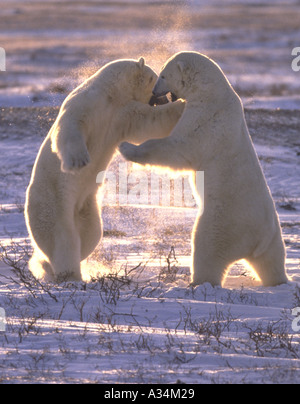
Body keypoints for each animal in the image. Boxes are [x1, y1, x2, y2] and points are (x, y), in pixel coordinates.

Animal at [25, 58, 185, 282]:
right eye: (155, 78)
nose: (165, 98)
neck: (110, 95)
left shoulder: (122, 115)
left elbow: (149, 123)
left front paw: (181, 105)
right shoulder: (85, 104)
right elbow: (71, 127)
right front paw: (80, 161)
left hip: (86, 207)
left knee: (91, 235)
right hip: (52, 203)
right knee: (63, 238)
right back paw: (67, 274)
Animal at [120, 51, 290, 288]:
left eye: (163, 75)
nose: (154, 92)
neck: (212, 92)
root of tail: (256, 241)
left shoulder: (206, 118)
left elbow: (180, 149)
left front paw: (127, 148)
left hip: (222, 223)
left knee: (206, 250)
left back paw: (197, 282)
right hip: (274, 235)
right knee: (272, 262)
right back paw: (279, 280)